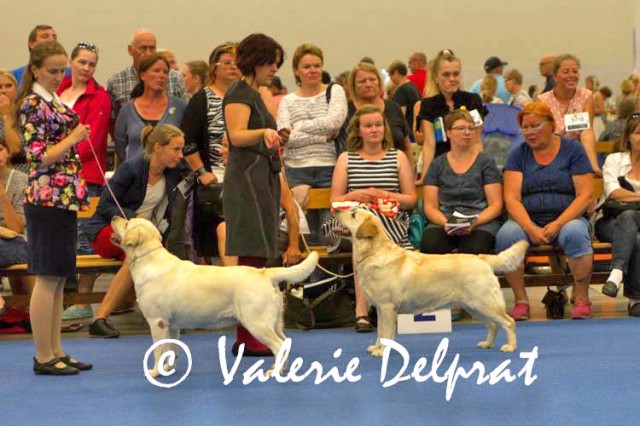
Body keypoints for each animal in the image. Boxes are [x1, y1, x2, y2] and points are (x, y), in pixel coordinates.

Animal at [110, 216, 319, 377]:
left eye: (127, 222)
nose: (113, 217)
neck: (148, 259)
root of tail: (265, 272)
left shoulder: (157, 322)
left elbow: (159, 350)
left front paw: (154, 373)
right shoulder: (172, 325)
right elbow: (171, 349)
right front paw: (168, 369)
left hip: (257, 323)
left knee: (278, 345)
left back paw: (274, 372)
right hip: (274, 322)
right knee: (285, 343)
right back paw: (280, 370)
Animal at [335, 209, 527, 356]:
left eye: (353, 214)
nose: (335, 210)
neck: (374, 253)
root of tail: (482, 258)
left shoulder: (387, 307)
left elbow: (386, 333)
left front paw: (382, 352)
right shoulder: (380, 309)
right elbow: (380, 332)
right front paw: (376, 347)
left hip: (485, 303)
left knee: (509, 322)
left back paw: (510, 346)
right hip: (475, 306)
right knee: (493, 325)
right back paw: (487, 344)